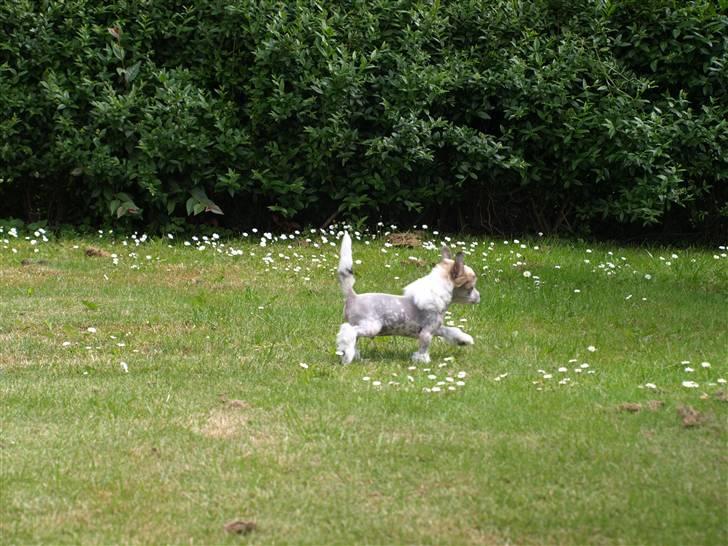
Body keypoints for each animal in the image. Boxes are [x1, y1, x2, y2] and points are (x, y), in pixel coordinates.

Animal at [336, 230, 484, 362]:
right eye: (471, 288)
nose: (479, 297)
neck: (437, 293)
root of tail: (353, 296)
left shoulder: (436, 328)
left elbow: (451, 331)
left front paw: (464, 340)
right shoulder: (426, 333)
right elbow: (424, 348)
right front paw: (422, 361)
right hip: (372, 327)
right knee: (349, 332)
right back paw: (347, 355)